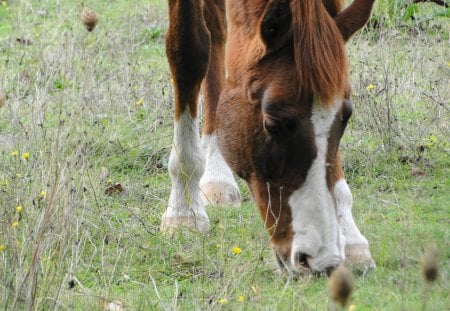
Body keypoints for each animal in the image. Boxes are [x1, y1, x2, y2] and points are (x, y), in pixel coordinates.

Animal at [162, 0, 376, 274]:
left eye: (346, 116)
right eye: (272, 124)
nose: (320, 259)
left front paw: (349, 238)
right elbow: (189, 53)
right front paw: (184, 212)